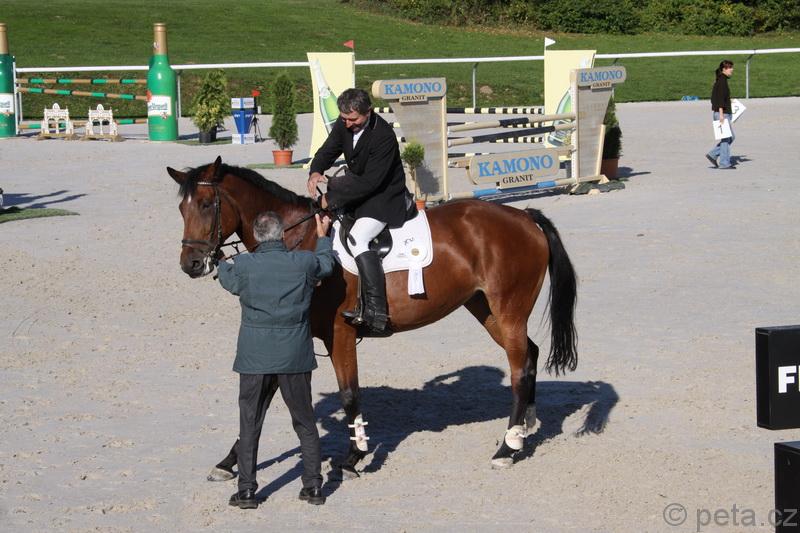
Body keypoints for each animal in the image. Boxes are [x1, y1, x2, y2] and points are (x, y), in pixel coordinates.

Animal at [167, 156, 577, 475]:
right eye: (182, 209)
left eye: (206, 203)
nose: (191, 264)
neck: (296, 241)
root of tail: (525, 217)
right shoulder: (286, 330)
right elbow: (264, 394)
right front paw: (229, 461)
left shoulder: (340, 333)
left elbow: (349, 393)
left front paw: (354, 455)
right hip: (486, 308)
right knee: (529, 354)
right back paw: (523, 430)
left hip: (507, 309)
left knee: (519, 367)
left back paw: (507, 449)